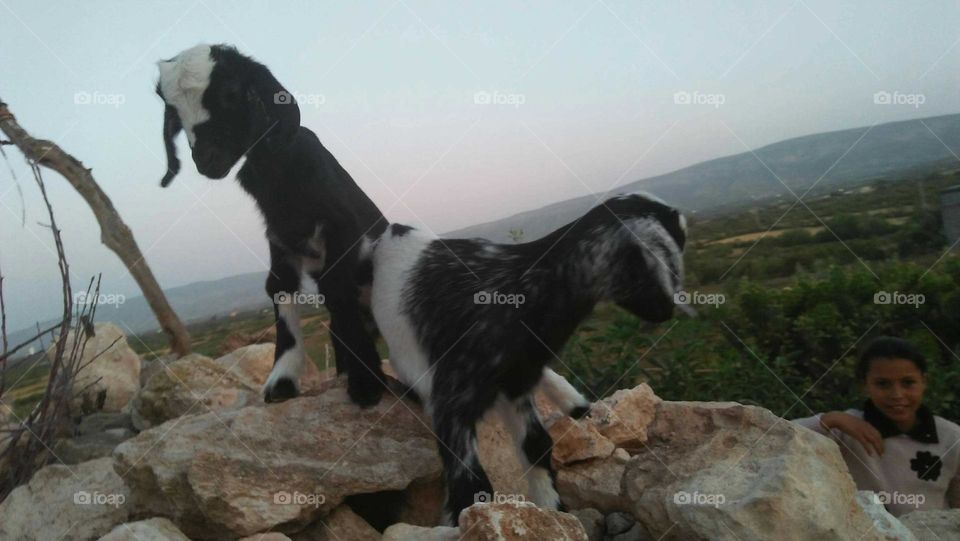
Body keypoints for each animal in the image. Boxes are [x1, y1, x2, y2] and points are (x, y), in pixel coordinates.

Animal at [156, 43, 388, 404]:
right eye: (175, 114)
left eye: (230, 91)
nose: (207, 159)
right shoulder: (279, 239)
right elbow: (279, 286)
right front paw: (282, 381)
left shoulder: (342, 225)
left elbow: (335, 286)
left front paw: (367, 384)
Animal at [364, 192, 688, 520]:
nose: (668, 311)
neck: (522, 288)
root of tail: (397, 230)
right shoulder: (454, 401)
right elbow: (471, 481)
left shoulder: (517, 383)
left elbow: (537, 445)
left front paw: (554, 510)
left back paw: (574, 402)